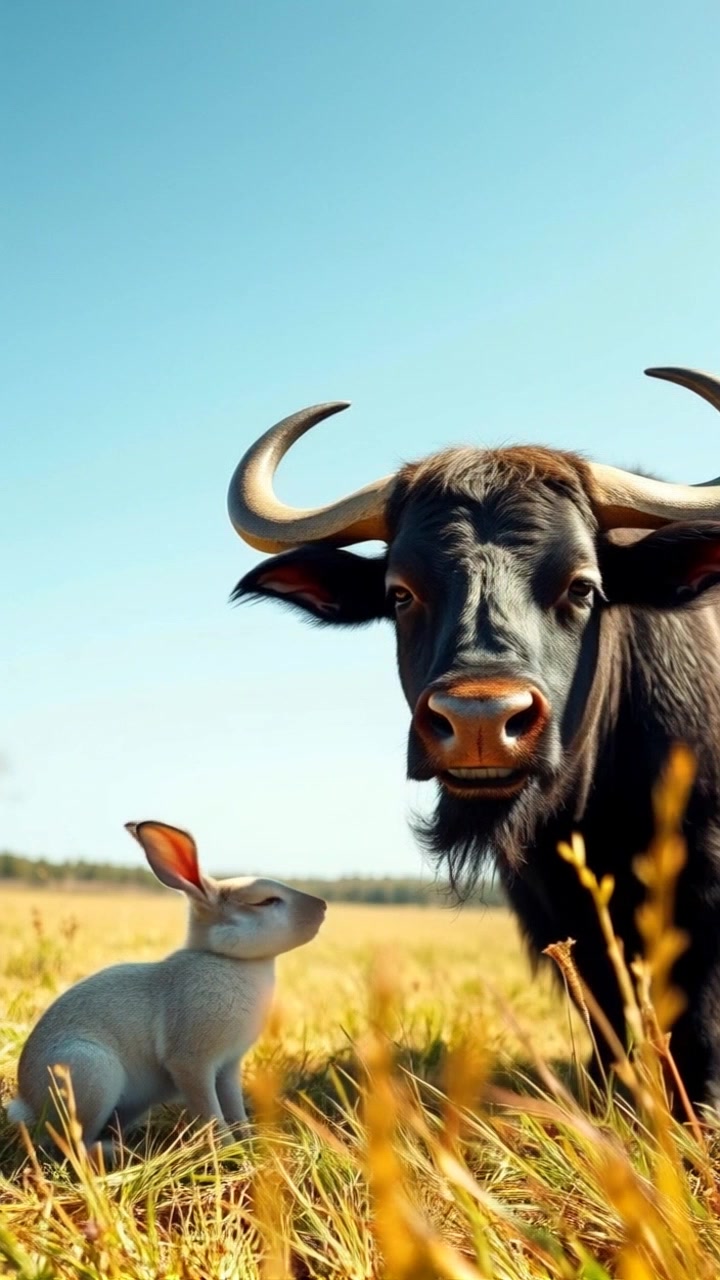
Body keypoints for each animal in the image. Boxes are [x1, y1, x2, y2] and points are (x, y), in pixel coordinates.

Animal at [226, 366, 720, 1107]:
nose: (481, 724)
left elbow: (694, 1027)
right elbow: (607, 1018)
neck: (597, 814)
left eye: (582, 586)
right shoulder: (557, 908)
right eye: (401, 592)